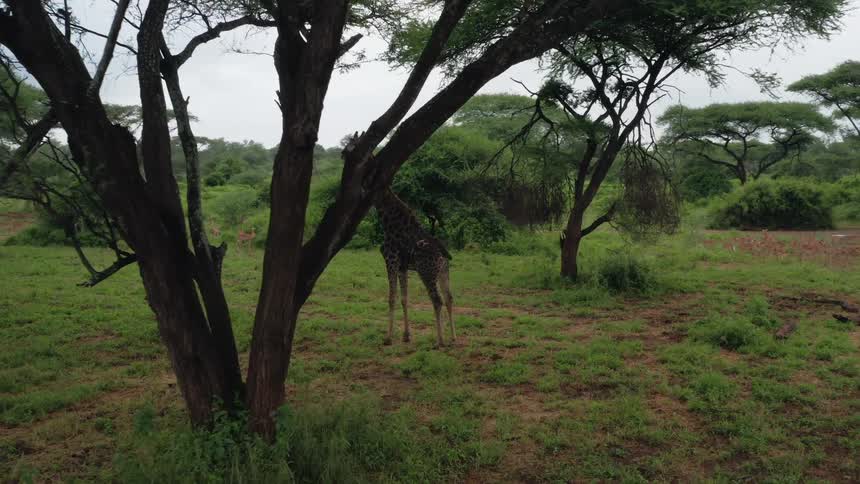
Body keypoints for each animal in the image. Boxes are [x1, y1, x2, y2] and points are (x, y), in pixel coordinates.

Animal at [374, 187, 455, 347]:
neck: (389, 221)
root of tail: (443, 255)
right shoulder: (402, 267)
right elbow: (404, 298)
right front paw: (406, 336)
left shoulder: (391, 261)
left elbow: (391, 298)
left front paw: (388, 338)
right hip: (443, 273)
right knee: (448, 298)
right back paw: (453, 338)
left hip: (426, 273)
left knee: (437, 300)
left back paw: (440, 341)